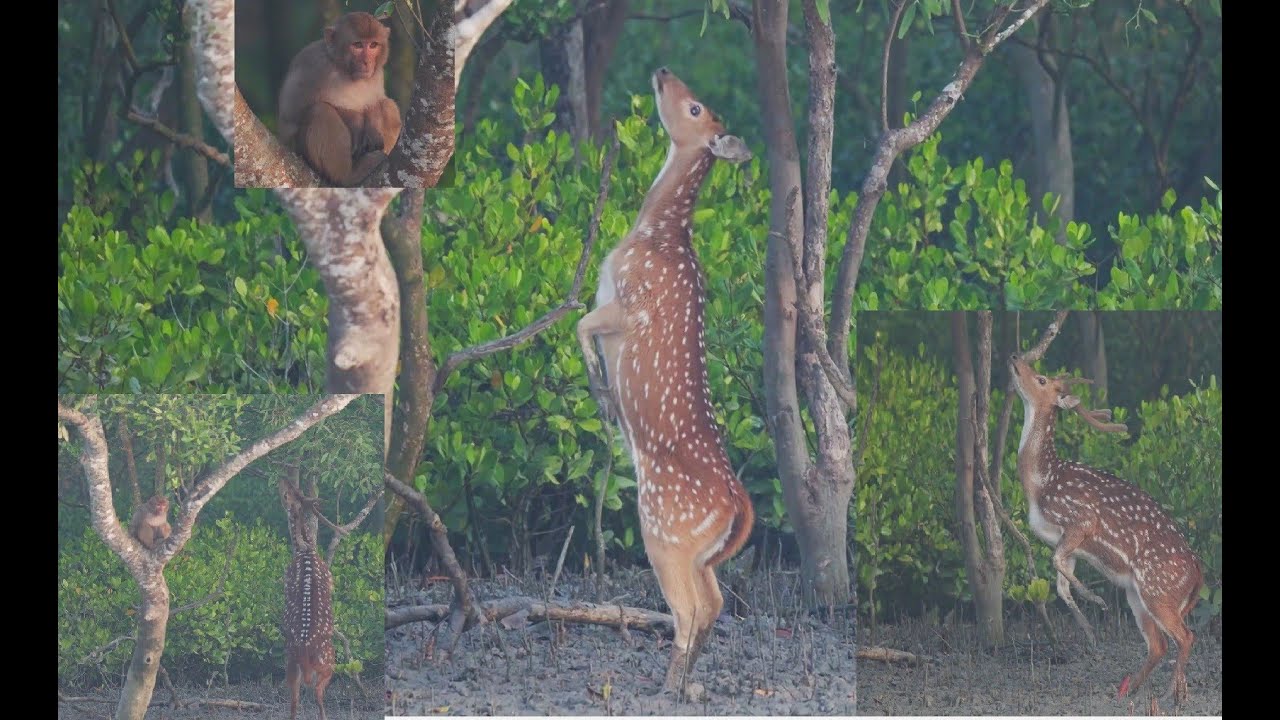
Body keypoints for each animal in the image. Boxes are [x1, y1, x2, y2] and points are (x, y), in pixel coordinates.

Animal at [277, 12, 402, 187]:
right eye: (357, 45)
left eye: (373, 45)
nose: (366, 62)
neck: (344, 69)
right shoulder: (313, 64)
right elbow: (291, 116)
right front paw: (356, 122)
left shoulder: (377, 74)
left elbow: (376, 103)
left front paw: (372, 126)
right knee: (320, 111)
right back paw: (348, 176)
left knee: (389, 105)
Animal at [576, 67, 754, 696]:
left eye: (697, 108)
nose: (662, 72)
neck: (652, 232)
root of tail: (738, 505)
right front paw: (604, 398)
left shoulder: (632, 301)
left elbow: (580, 325)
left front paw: (604, 396)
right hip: (701, 550)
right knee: (717, 599)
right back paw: (691, 682)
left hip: (665, 531)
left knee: (691, 606)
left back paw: (668, 686)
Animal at [1009, 353, 1203, 705]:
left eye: (1041, 379)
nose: (1015, 357)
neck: (1040, 484)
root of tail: (1199, 572)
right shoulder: (1063, 541)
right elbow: (1060, 583)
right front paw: (1088, 629)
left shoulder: (1080, 519)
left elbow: (1058, 568)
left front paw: (1096, 601)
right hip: (1138, 595)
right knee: (1159, 644)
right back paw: (1131, 690)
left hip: (1158, 590)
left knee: (1185, 636)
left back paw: (1172, 693)